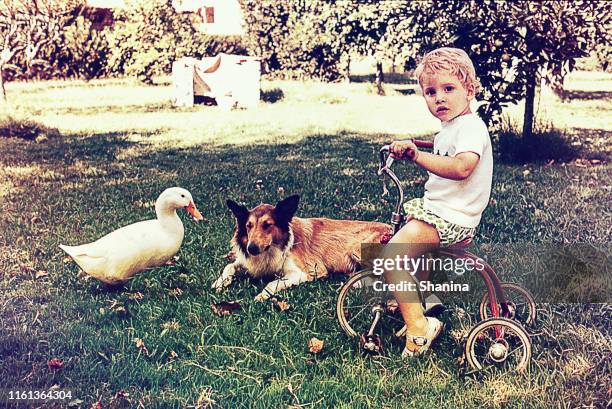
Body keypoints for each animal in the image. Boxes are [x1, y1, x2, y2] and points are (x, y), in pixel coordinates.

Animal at [213, 193, 390, 302]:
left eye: (267, 225)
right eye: (248, 226)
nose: (251, 249)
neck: (272, 249)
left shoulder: (306, 272)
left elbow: (273, 283)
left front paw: (262, 295)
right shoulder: (247, 262)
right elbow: (229, 266)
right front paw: (220, 282)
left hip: (358, 249)